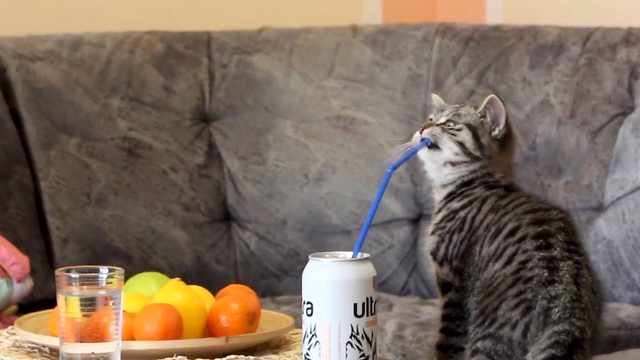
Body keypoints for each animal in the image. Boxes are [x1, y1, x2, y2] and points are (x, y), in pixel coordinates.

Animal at [412, 94, 604, 358]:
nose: (422, 127)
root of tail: (566, 312)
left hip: (488, 334)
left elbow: (448, 341)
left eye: (449, 124)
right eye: (430, 118)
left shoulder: (452, 282)